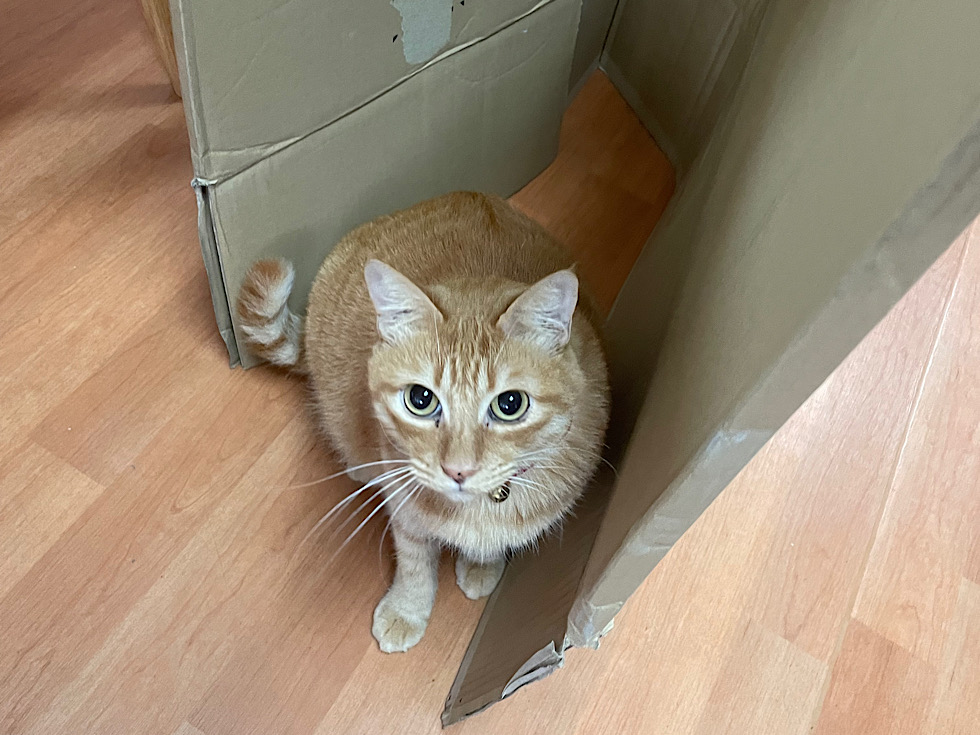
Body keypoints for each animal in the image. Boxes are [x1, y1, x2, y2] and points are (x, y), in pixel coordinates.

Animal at [237, 192, 609, 653]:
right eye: (420, 399)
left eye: (510, 404)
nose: (458, 470)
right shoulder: (404, 505)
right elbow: (414, 560)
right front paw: (407, 610)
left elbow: (492, 544)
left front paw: (482, 564)